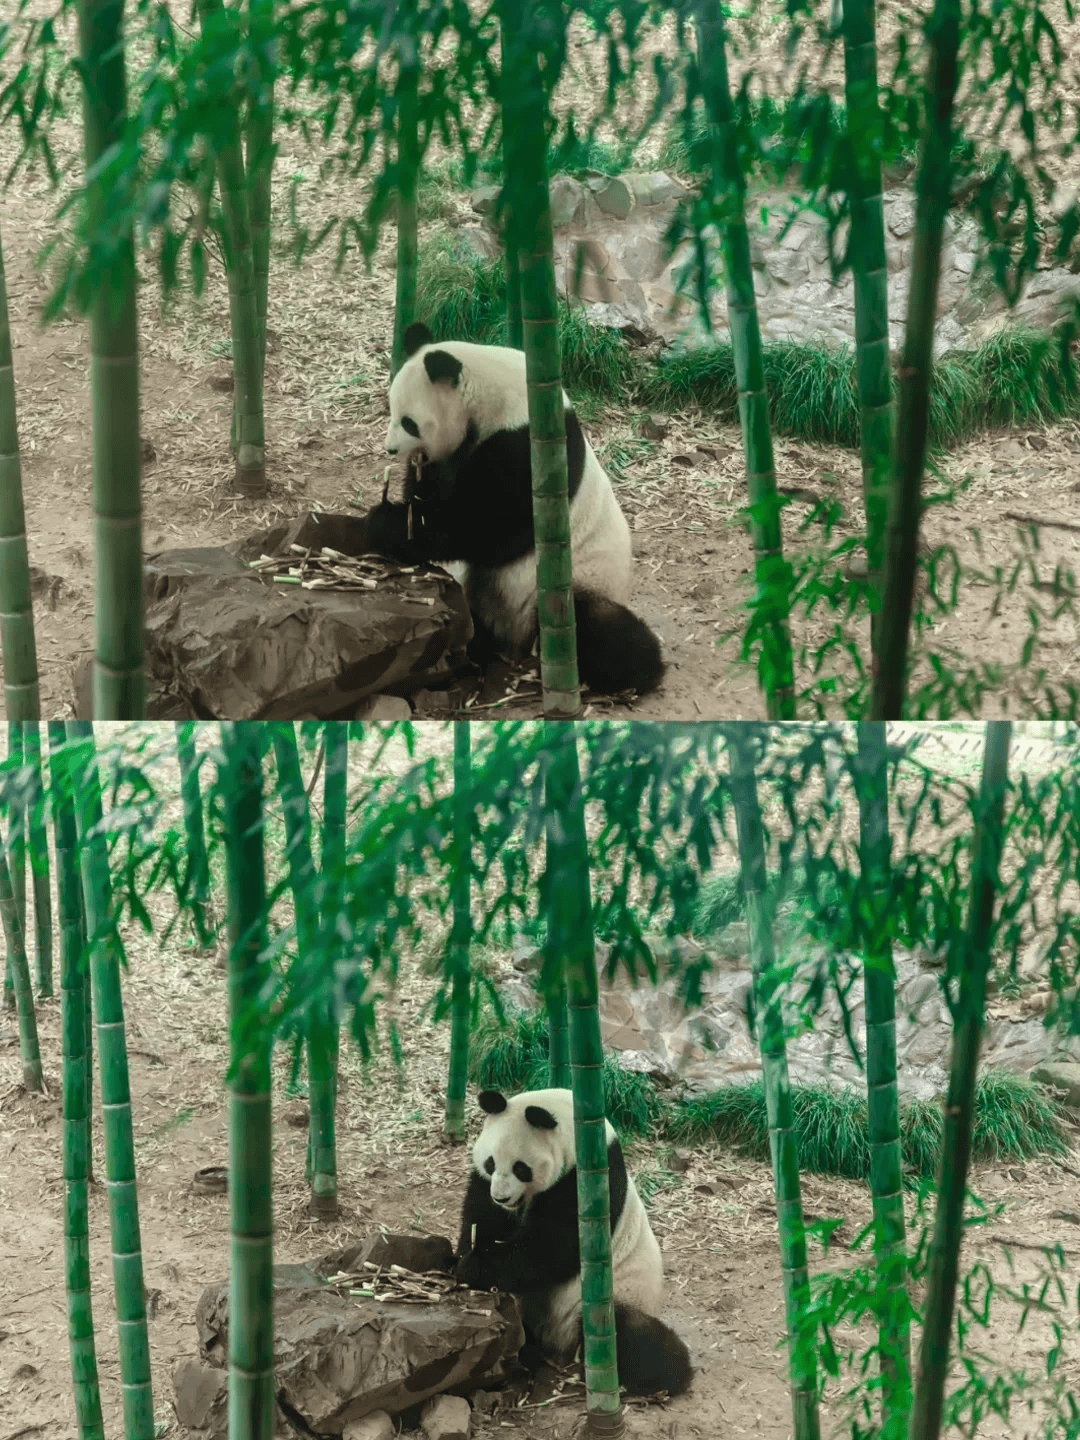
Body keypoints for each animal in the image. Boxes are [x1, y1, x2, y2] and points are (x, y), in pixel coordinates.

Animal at [361, 324, 668, 694]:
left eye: (409, 422)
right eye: (391, 407)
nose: (391, 449)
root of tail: (515, 639)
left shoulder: (527, 450)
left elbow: (489, 530)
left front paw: (386, 524)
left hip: (573, 587)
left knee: (604, 633)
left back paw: (643, 669)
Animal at [455, 1088, 694, 1393]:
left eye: (521, 1168)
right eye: (491, 1162)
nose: (502, 1197)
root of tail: (560, 1342)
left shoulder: (587, 1185)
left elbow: (551, 1249)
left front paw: (474, 1267)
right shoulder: (487, 1185)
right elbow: (480, 1218)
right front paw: (465, 1257)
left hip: (614, 1298)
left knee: (635, 1339)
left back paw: (669, 1372)